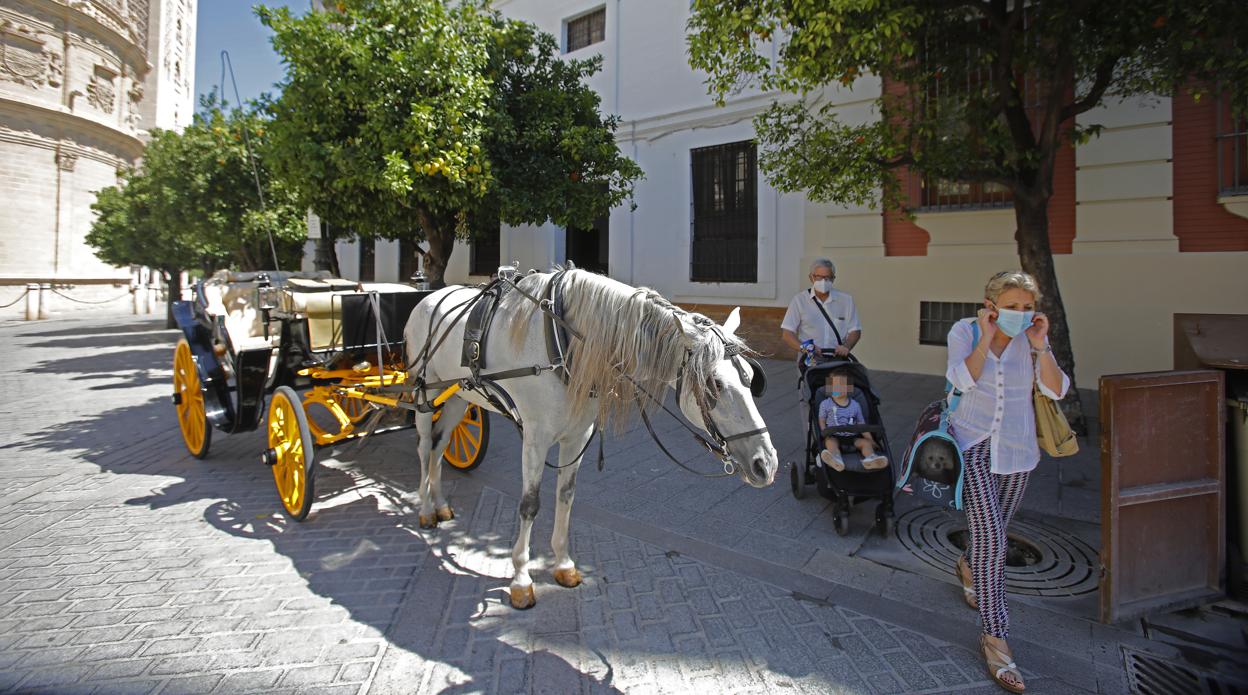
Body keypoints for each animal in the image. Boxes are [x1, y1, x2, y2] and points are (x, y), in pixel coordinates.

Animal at [401, 268, 768, 603]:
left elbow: (566, 497)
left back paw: (440, 505)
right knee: (423, 446)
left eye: (751, 378)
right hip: (424, 393)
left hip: (458, 398)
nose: (766, 463)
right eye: (714, 385)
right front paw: (521, 578)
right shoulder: (534, 439)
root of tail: (429, 297)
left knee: (440, 446)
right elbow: (530, 505)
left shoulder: (576, 436)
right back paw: (425, 509)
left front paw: (563, 565)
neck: (563, 340)